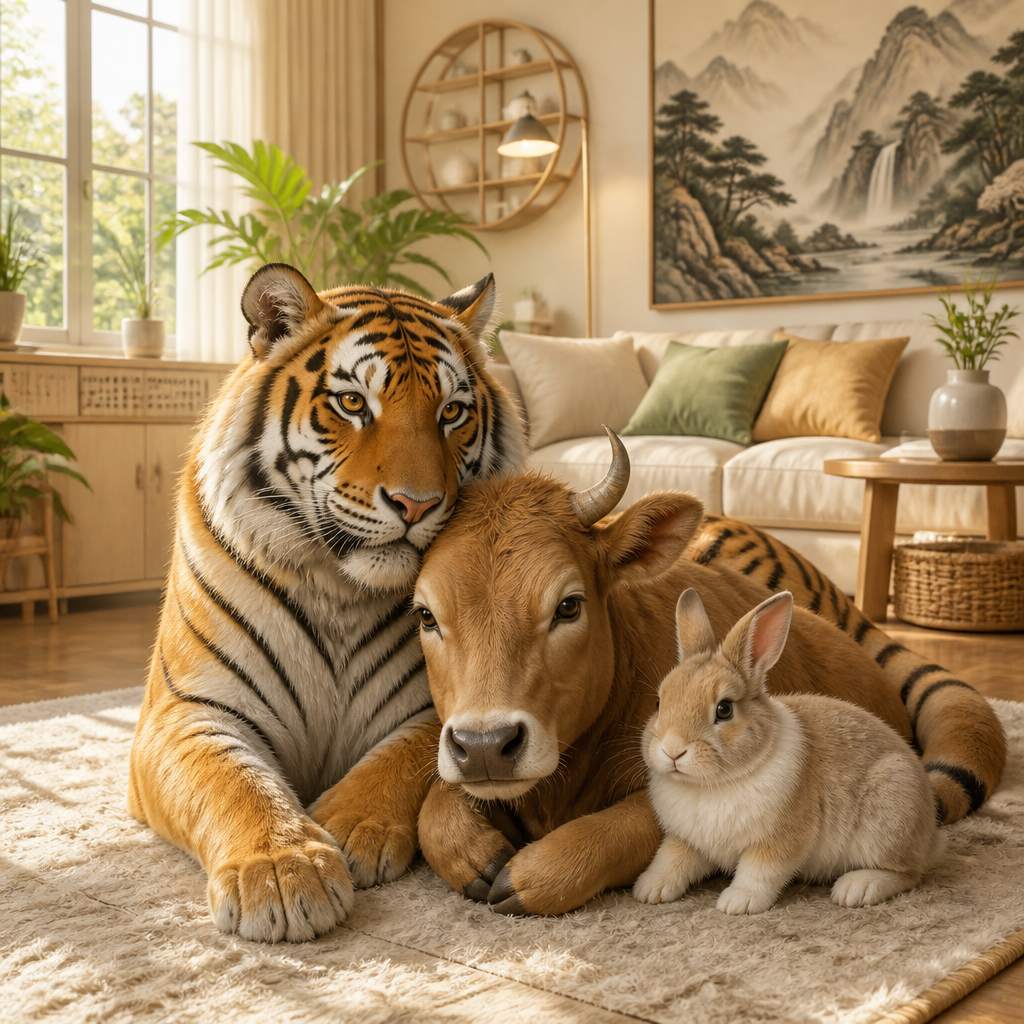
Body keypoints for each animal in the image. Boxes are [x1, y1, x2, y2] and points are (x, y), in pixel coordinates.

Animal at [128, 263, 524, 943]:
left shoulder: (447, 703)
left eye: (452, 412)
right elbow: (230, 780)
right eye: (352, 403)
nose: (417, 504)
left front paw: (346, 829)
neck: (338, 589)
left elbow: (402, 759)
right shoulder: (186, 712)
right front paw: (282, 871)